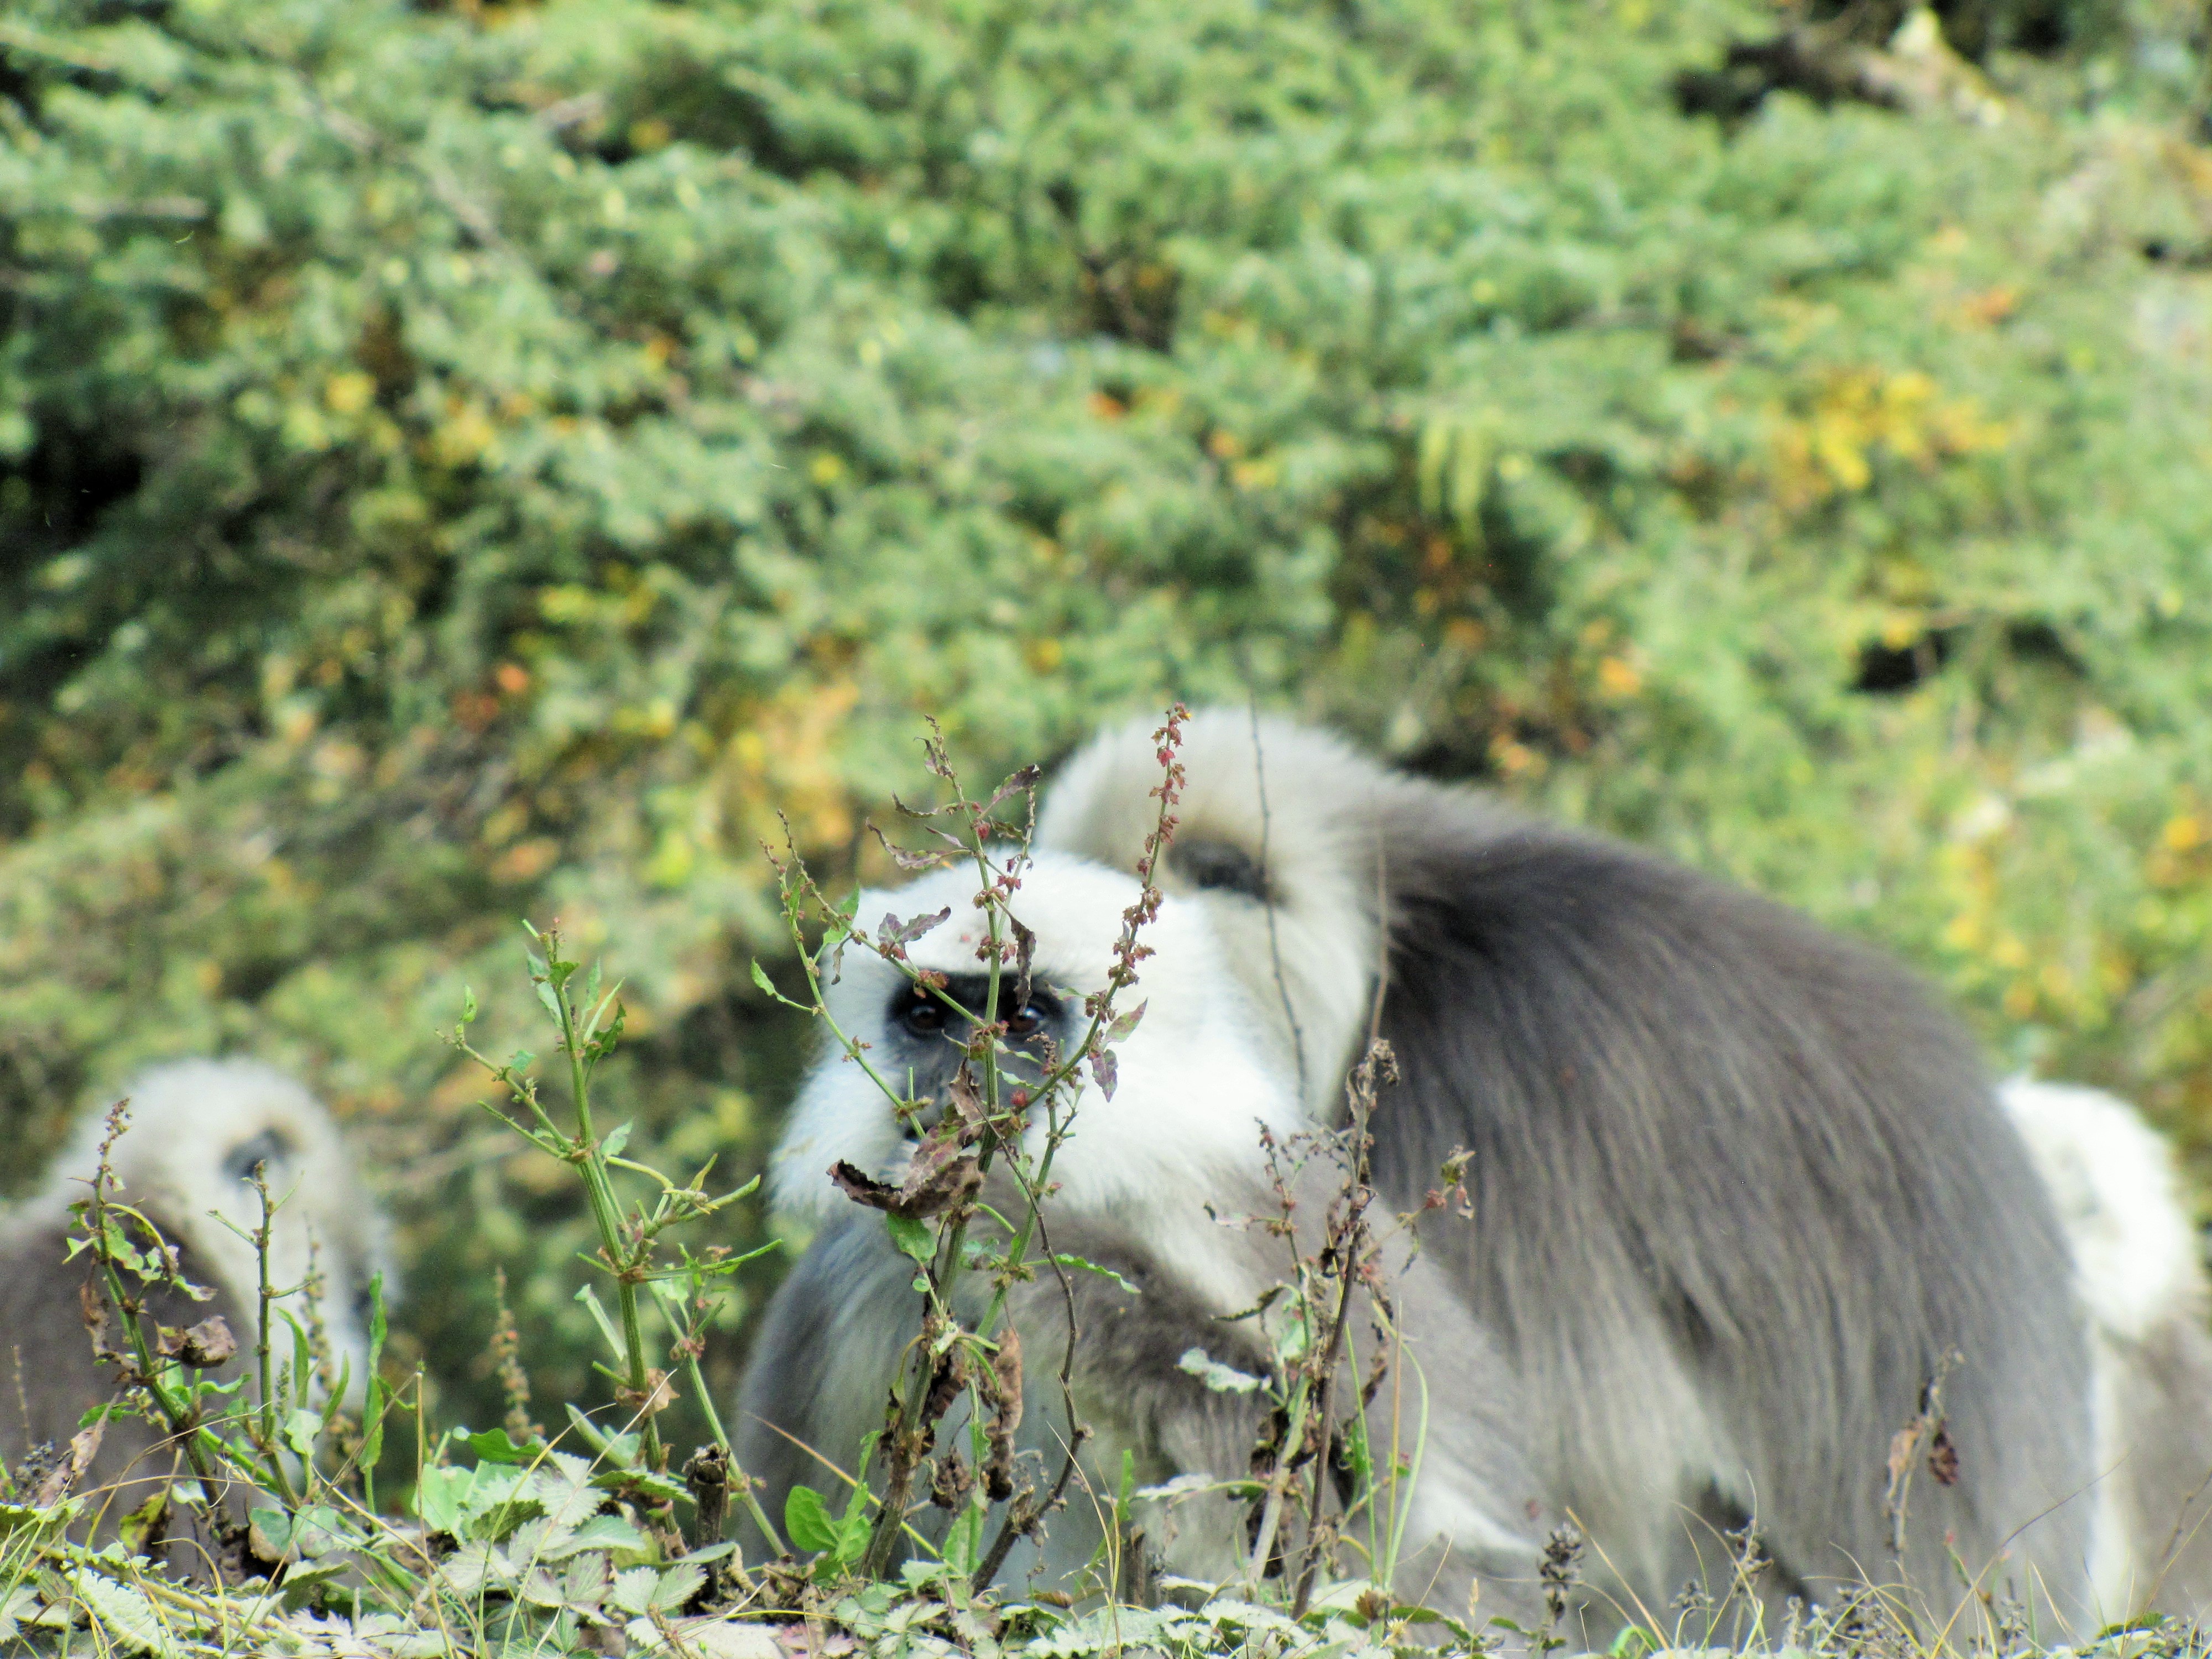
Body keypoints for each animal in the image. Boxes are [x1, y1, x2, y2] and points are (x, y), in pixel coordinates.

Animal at [734, 858, 1548, 1628]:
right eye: (927, 1016)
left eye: (1024, 1017)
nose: (955, 1091)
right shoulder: (858, 1259)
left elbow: (1338, 1488)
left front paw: (999, 1218)